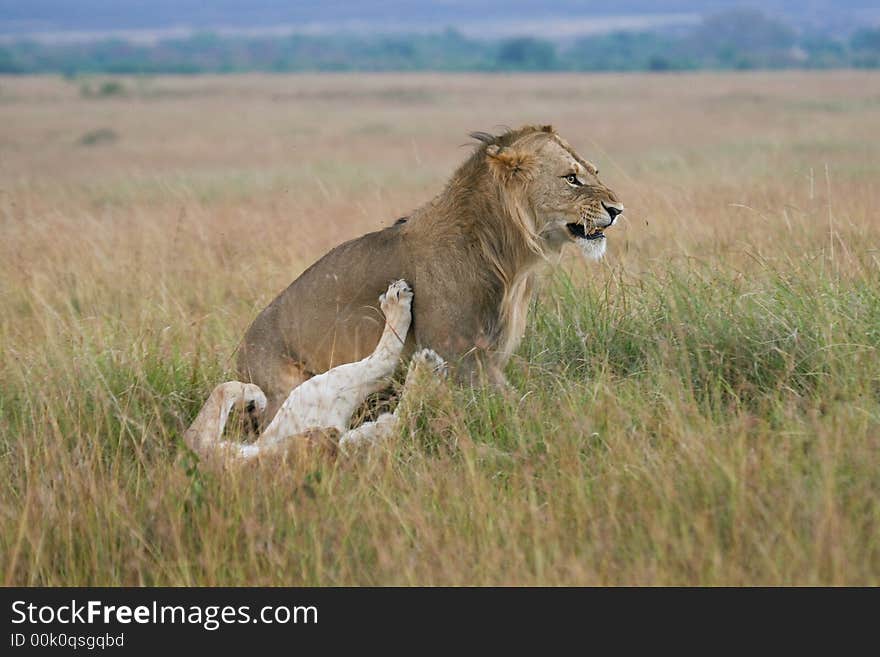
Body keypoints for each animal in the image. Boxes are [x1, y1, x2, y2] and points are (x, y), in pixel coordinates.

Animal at [237, 124, 624, 420]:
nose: (618, 209)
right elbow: (523, 407)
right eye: (571, 178)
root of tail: (240, 353)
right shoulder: (460, 358)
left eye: (594, 172)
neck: (508, 258)